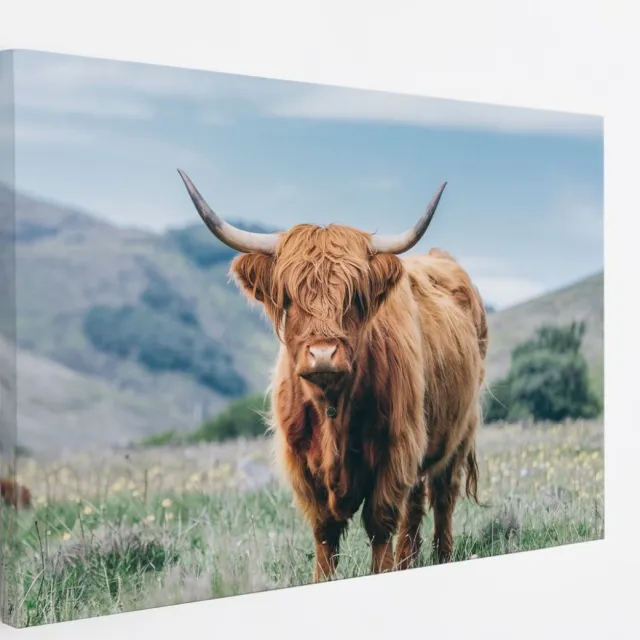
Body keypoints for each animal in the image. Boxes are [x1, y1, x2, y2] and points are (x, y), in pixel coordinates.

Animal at [178, 169, 488, 582]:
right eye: (289, 297)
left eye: (354, 297)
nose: (323, 354)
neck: (333, 408)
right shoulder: (302, 465)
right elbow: (325, 532)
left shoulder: (394, 451)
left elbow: (380, 524)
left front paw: (383, 571)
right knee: (416, 505)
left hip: (459, 432)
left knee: (442, 497)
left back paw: (441, 557)